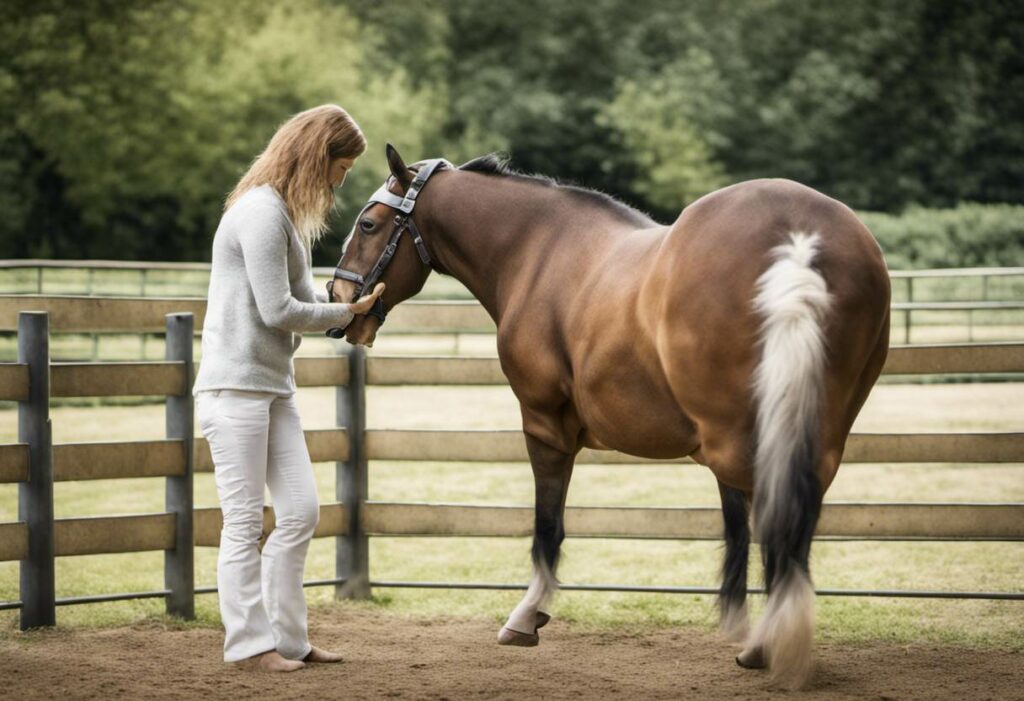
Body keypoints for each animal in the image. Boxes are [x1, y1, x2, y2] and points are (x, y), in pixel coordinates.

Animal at [325, 145, 888, 687]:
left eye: (368, 224)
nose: (340, 299)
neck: (536, 249)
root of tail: (797, 237)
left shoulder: (544, 424)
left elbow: (548, 523)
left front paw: (528, 615)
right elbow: (735, 525)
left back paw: (768, 645)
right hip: (810, 432)